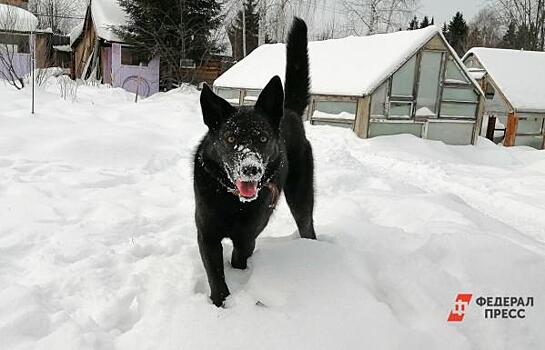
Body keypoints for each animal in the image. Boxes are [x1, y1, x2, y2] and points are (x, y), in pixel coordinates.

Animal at [194, 18, 314, 306]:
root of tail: (289, 111)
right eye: (229, 138)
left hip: (301, 198)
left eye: (262, 137)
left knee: (307, 225)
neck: (232, 200)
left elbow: (239, 257)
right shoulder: (207, 235)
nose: (251, 169)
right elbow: (215, 274)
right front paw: (220, 304)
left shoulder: (247, 236)